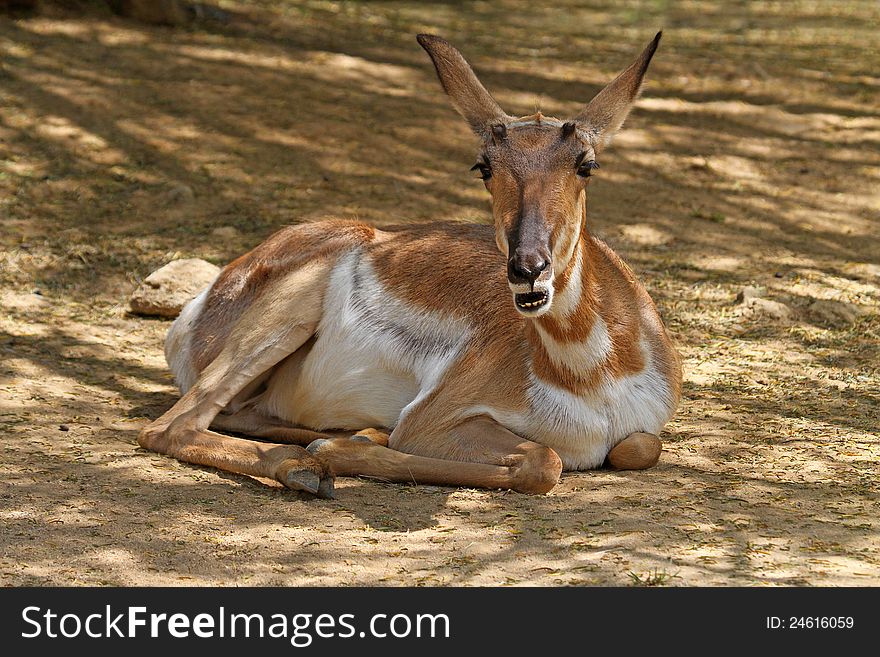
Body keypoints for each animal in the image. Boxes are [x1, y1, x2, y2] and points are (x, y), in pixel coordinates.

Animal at [141, 29, 684, 492]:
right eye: (483, 167)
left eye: (586, 164)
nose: (528, 270)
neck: (592, 375)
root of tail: (202, 304)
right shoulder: (432, 420)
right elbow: (543, 461)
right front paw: (339, 452)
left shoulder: (640, 432)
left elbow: (639, 447)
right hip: (280, 318)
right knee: (170, 427)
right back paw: (307, 467)